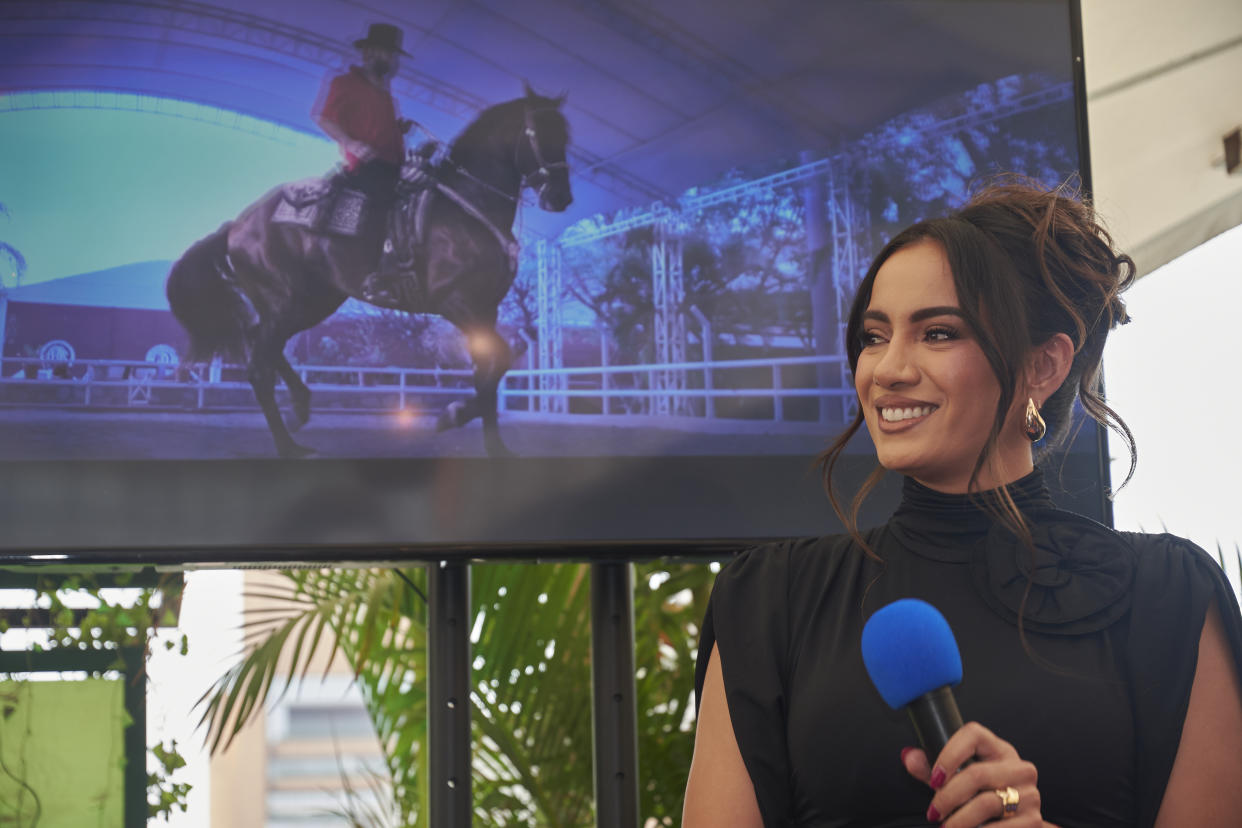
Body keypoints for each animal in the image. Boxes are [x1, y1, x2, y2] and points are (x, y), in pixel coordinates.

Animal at [163, 87, 571, 459]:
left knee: (265, 344)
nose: (561, 198)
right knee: (258, 366)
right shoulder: (457, 304)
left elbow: (488, 371)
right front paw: (454, 415)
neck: (466, 209)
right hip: (285, 301)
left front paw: (492, 443)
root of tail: (237, 225)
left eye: (566, 135)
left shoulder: (486, 310)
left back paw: (300, 408)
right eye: (540, 133)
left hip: (312, 302)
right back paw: (287, 445)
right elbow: (497, 360)